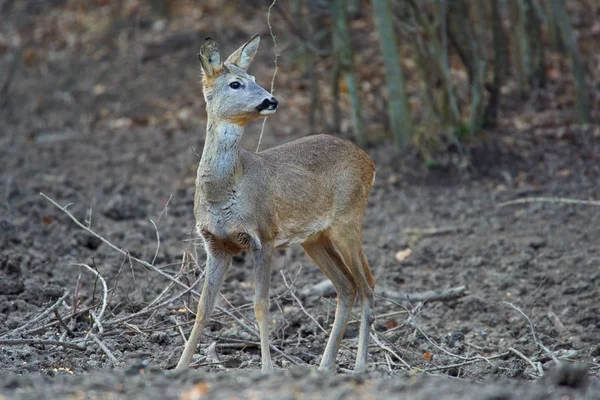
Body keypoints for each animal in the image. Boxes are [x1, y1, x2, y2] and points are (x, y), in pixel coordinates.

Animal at [175, 35, 376, 376]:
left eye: (255, 78)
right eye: (236, 83)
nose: (271, 100)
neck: (226, 191)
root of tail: (370, 162)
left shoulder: (264, 235)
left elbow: (261, 303)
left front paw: (267, 368)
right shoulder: (215, 244)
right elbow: (203, 307)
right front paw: (178, 367)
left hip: (348, 220)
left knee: (366, 284)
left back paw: (360, 365)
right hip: (314, 238)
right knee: (347, 285)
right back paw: (324, 366)